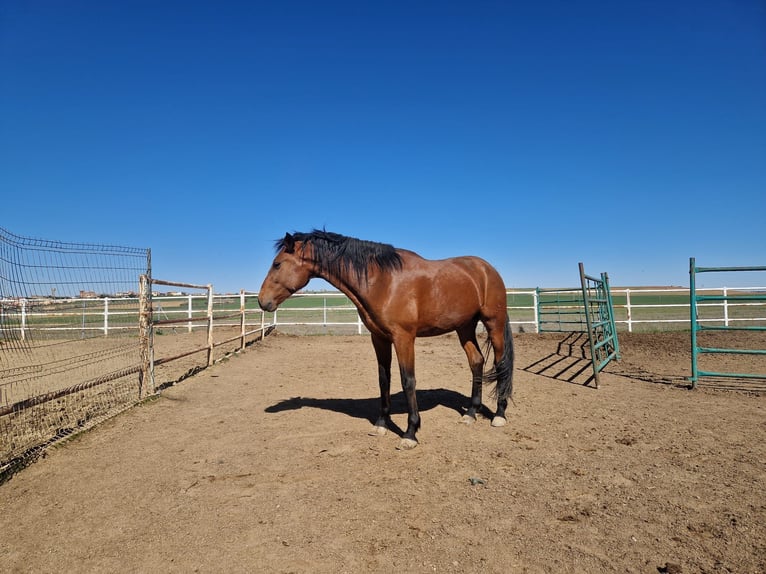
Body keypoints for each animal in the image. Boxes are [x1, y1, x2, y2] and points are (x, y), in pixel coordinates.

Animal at [258, 230, 514, 450]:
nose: (262, 301)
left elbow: (407, 380)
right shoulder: (379, 338)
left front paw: (410, 433)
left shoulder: (404, 338)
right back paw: (470, 413)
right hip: (464, 327)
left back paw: (499, 415)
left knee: (501, 365)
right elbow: (384, 379)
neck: (384, 281)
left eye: (277, 264)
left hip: (494, 324)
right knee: (476, 361)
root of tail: (487, 269)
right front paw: (381, 424)